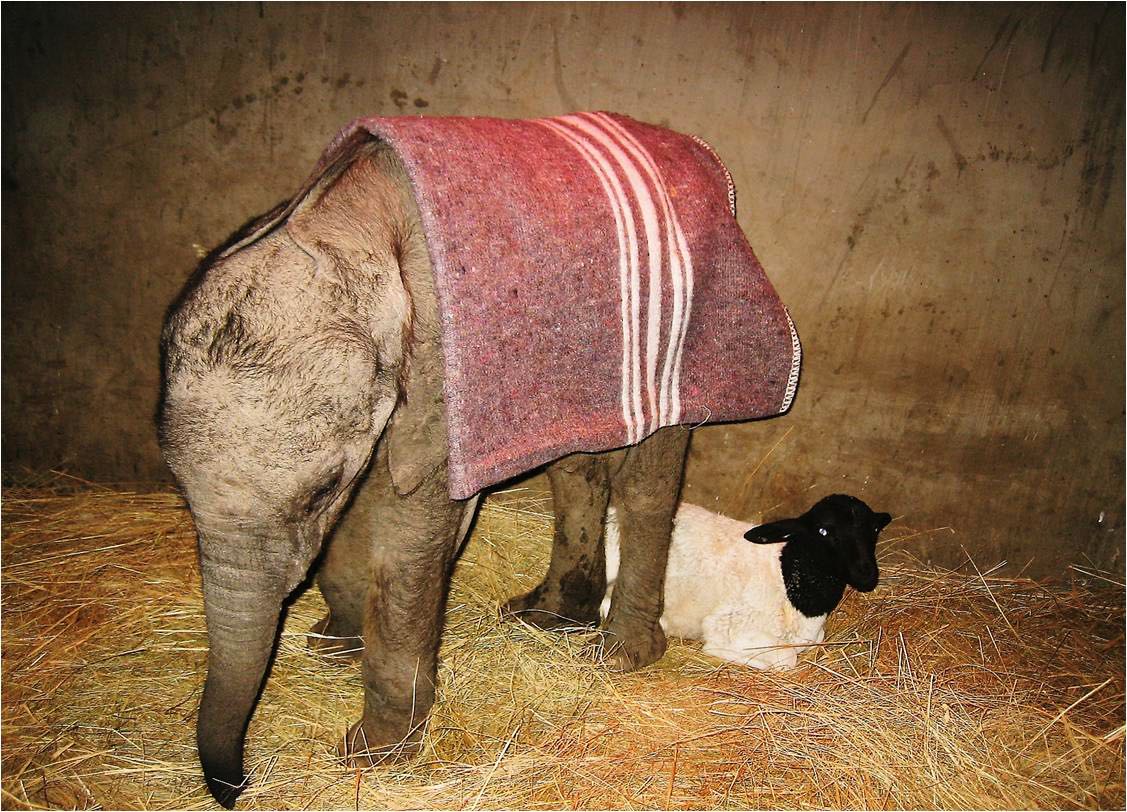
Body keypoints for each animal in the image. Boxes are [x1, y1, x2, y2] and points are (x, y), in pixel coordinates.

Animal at [158, 140, 691, 808]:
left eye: (319, 492)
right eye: (181, 494)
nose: (240, 786)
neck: (336, 217)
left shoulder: (446, 372)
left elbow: (410, 530)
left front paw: (371, 756)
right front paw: (333, 646)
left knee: (650, 474)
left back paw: (618, 655)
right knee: (574, 464)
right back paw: (548, 618)